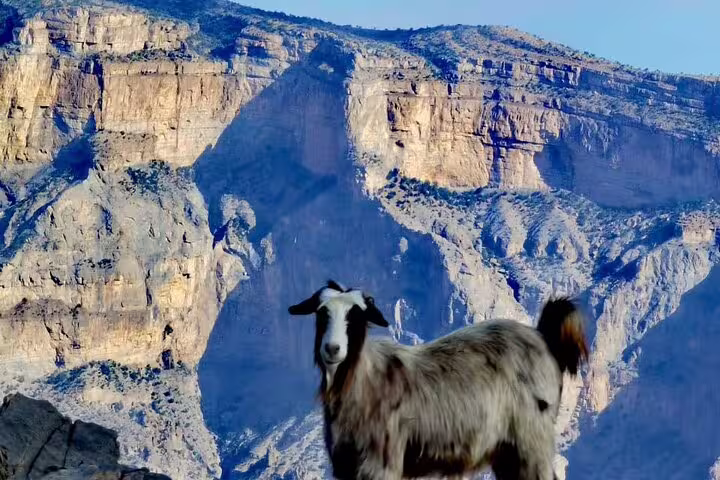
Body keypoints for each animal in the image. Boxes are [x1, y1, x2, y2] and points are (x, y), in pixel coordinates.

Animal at [288, 280, 589, 480]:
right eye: (321, 313)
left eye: (357, 316)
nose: (332, 349)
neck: (362, 380)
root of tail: (544, 337)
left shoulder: (381, 463)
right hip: (509, 452)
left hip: (531, 441)